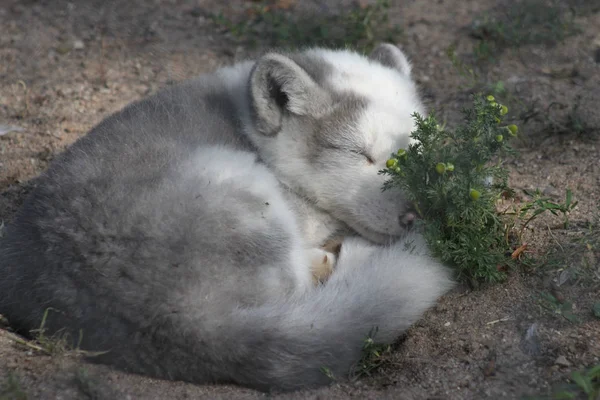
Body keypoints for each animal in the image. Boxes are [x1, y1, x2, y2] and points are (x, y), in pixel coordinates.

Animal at [0, 43, 452, 390]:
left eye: (421, 147)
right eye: (362, 155)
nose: (419, 213)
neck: (248, 130)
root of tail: (181, 322)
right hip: (245, 188)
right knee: (301, 286)